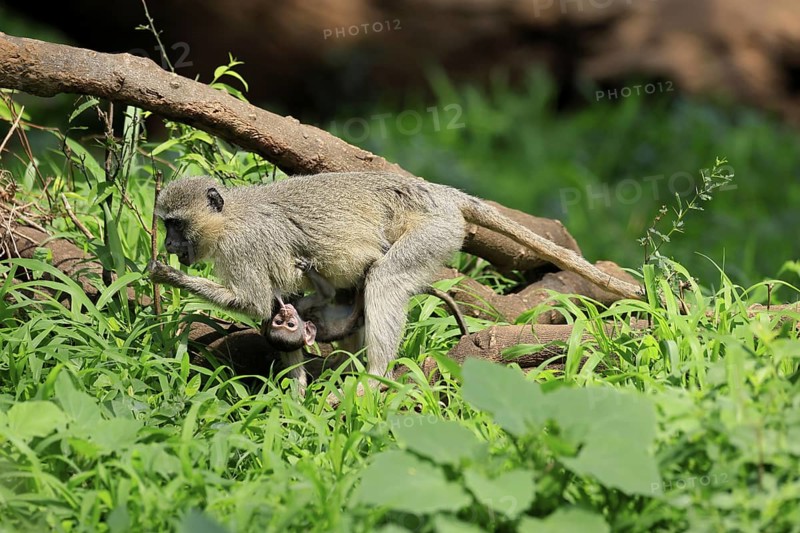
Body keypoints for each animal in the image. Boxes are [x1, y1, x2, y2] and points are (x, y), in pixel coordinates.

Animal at [147, 172, 643, 396]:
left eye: (176, 224)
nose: (169, 245)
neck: (229, 218)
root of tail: (434, 191)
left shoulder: (243, 249)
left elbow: (253, 303)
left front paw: (167, 275)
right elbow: (278, 308)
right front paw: (296, 394)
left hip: (434, 231)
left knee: (384, 280)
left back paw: (374, 378)